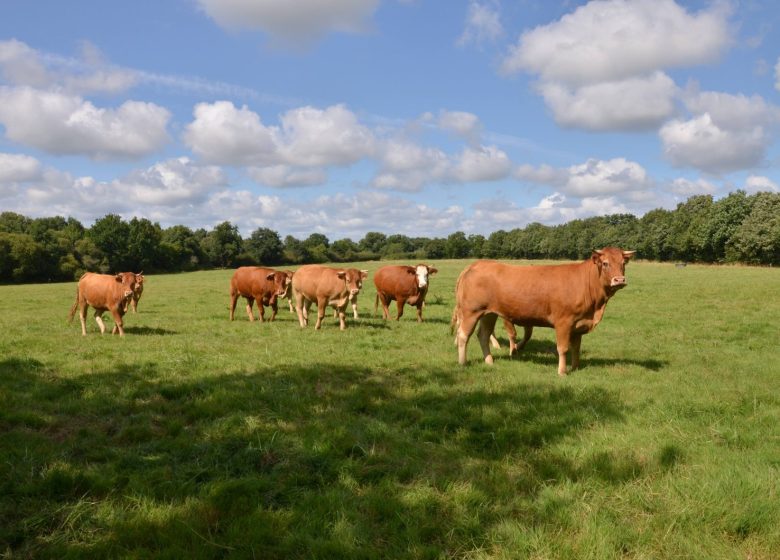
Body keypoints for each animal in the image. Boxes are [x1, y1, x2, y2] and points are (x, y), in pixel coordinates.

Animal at [458, 247, 632, 374]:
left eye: (623, 263)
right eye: (605, 263)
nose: (619, 280)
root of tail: (477, 264)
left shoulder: (579, 324)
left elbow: (576, 348)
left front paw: (575, 367)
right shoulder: (564, 322)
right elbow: (563, 348)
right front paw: (562, 372)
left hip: (489, 313)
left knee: (483, 335)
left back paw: (489, 361)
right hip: (471, 312)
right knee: (463, 335)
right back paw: (463, 362)